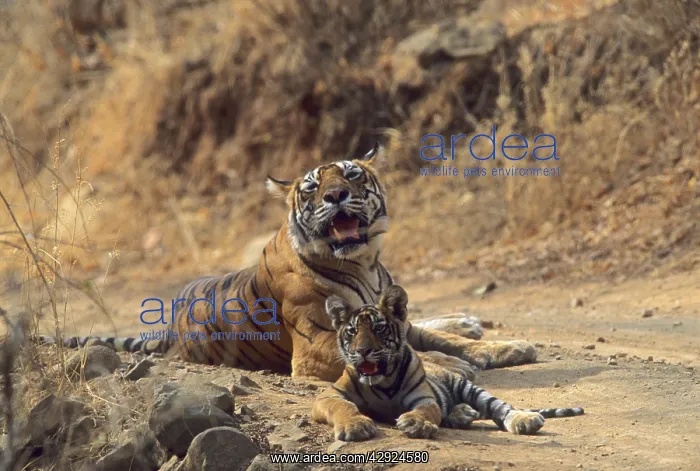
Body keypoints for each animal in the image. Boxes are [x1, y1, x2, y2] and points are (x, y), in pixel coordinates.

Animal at [35, 143, 537, 381]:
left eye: (352, 175)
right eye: (313, 188)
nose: (336, 196)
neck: (366, 264)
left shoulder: (387, 314)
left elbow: (439, 339)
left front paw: (504, 347)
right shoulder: (319, 345)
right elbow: (414, 351)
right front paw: (452, 365)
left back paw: (469, 321)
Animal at [312, 284, 584, 441]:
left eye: (379, 329)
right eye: (352, 332)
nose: (363, 351)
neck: (383, 382)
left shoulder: (424, 398)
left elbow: (427, 410)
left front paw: (416, 423)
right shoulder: (328, 396)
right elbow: (343, 407)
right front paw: (355, 426)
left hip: (467, 387)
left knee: (500, 408)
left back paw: (524, 420)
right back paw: (462, 414)